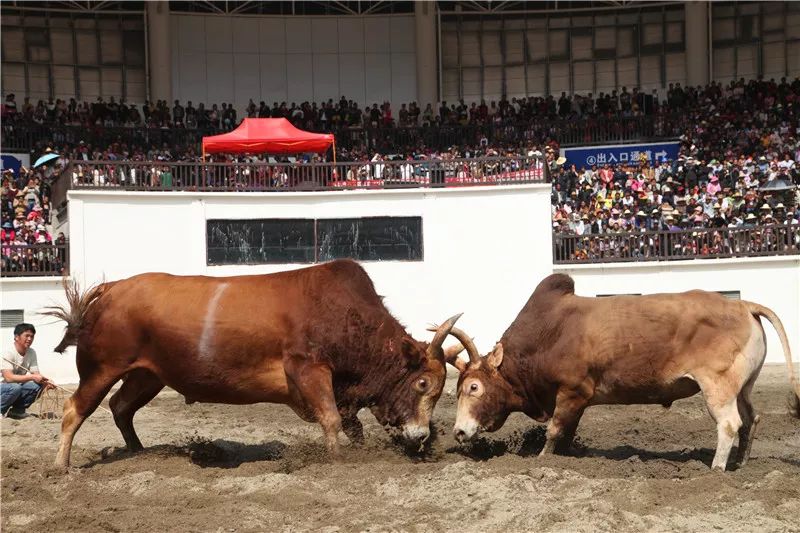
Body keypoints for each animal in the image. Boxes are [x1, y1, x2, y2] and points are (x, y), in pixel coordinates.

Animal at [43, 260, 466, 468]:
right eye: (423, 384)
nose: (422, 435)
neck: (344, 314)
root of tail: (113, 288)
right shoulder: (309, 369)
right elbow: (332, 418)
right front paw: (338, 460)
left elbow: (352, 424)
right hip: (101, 368)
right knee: (75, 409)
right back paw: (61, 465)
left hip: (148, 375)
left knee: (121, 406)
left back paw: (138, 452)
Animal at [444, 274, 800, 470]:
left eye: (473, 387)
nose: (459, 432)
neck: (546, 336)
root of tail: (744, 305)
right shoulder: (579, 400)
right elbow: (567, 432)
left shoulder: (571, 392)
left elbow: (554, 431)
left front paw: (543, 458)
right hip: (744, 386)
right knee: (751, 418)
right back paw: (741, 463)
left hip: (718, 386)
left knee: (729, 424)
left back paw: (715, 468)